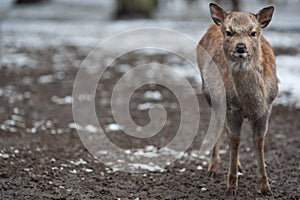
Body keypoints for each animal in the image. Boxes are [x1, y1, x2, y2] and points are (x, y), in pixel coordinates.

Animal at [197, 2, 278, 195]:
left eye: (253, 32)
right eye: (229, 32)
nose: (241, 47)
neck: (251, 103)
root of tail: (213, 25)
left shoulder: (267, 109)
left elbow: (259, 141)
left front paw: (266, 187)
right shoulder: (231, 109)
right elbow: (235, 141)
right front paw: (231, 187)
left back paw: (239, 166)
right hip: (211, 96)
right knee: (218, 125)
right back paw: (213, 168)